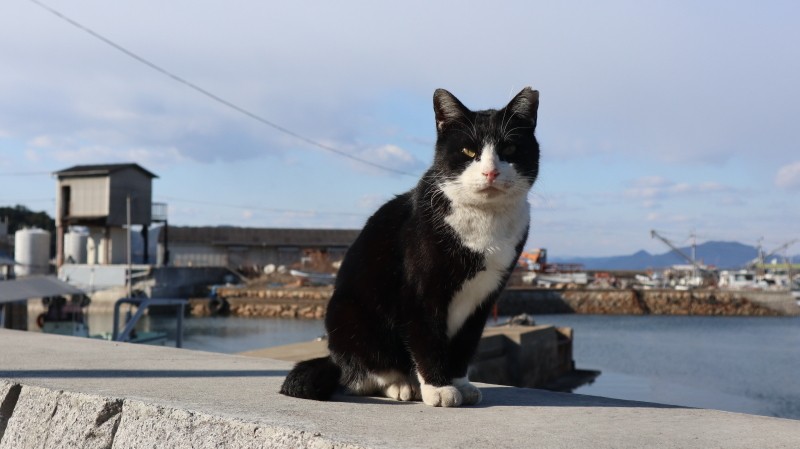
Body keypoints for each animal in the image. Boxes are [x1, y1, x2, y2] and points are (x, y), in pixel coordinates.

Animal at [280, 87, 540, 407]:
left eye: (510, 149)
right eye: (469, 152)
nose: (490, 172)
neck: (484, 220)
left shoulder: (485, 297)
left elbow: (464, 344)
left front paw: (459, 383)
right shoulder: (420, 291)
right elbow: (426, 339)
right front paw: (439, 388)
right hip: (348, 316)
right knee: (364, 375)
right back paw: (403, 385)